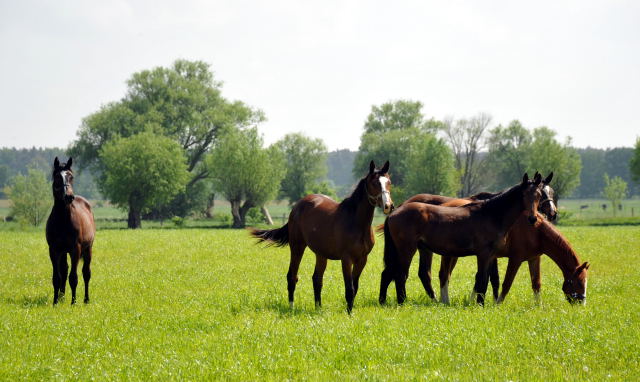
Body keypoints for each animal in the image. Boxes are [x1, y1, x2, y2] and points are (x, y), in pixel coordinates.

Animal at [45, 157, 95, 304]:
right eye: (57, 176)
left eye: (71, 176)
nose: (68, 196)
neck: (63, 219)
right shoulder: (54, 250)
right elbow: (57, 277)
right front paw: (55, 302)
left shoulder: (75, 249)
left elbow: (74, 277)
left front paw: (73, 302)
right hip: (63, 252)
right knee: (64, 271)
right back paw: (61, 298)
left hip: (88, 249)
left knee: (86, 273)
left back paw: (86, 299)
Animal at [251, 160, 392, 312]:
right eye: (375, 183)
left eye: (389, 182)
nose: (388, 206)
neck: (356, 222)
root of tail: (297, 206)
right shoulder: (346, 259)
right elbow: (349, 289)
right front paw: (349, 314)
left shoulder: (362, 259)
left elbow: (355, 287)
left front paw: (350, 311)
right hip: (297, 247)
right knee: (292, 276)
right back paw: (291, 307)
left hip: (321, 254)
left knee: (317, 279)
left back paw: (318, 308)